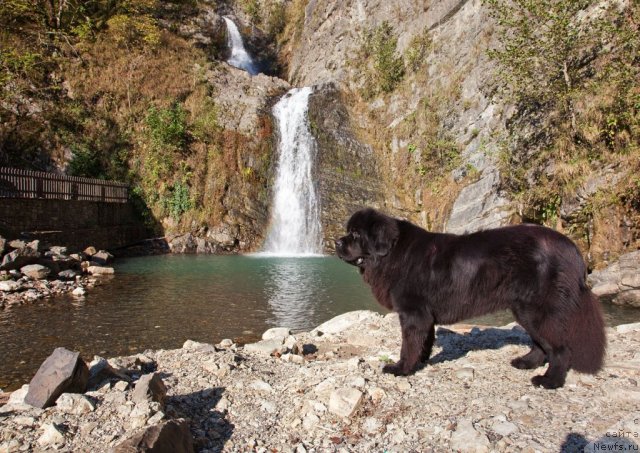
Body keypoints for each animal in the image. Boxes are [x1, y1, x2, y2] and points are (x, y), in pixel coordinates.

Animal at [336, 208, 604, 388]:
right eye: (348, 232)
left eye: (356, 234)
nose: (337, 241)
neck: (392, 253)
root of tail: (572, 248)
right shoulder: (425, 315)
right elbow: (424, 341)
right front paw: (420, 362)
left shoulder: (413, 313)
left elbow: (409, 344)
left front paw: (401, 368)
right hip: (524, 309)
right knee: (540, 342)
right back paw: (526, 362)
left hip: (538, 309)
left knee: (560, 348)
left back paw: (550, 380)